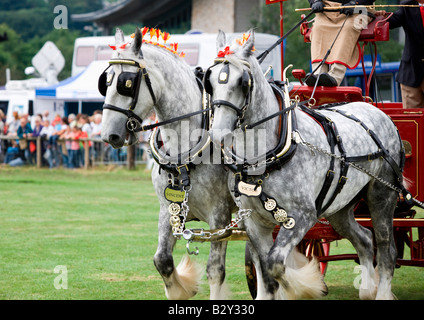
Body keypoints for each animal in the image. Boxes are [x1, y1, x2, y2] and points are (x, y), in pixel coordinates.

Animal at [209, 29, 404, 300]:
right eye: (210, 81)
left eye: (242, 82)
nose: (218, 134)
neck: (264, 158)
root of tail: (378, 110)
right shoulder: (254, 221)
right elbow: (265, 267)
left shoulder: (301, 216)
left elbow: (276, 263)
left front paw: (305, 285)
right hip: (340, 207)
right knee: (365, 239)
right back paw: (366, 289)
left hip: (383, 196)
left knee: (386, 248)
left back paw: (382, 292)